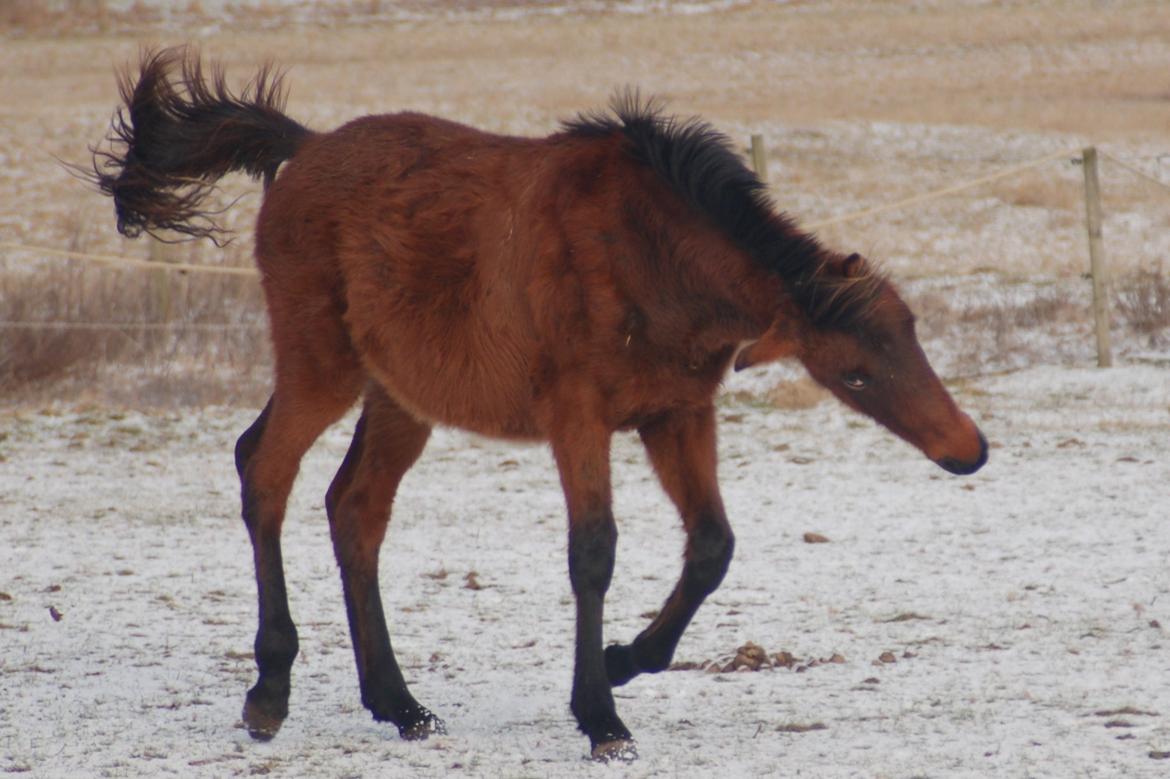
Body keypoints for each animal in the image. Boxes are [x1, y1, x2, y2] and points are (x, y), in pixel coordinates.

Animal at [91, 47, 987, 757]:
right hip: (324, 366)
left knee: (355, 508)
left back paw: (399, 702)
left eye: (911, 331)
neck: (653, 257)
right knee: (265, 472)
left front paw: (627, 657)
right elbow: (593, 551)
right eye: (855, 373)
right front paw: (601, 715)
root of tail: (304, 148)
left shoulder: (676, 414)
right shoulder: (578, 417)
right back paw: (270, 689)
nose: (967, 449)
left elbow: (711, 546)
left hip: (400, 397)